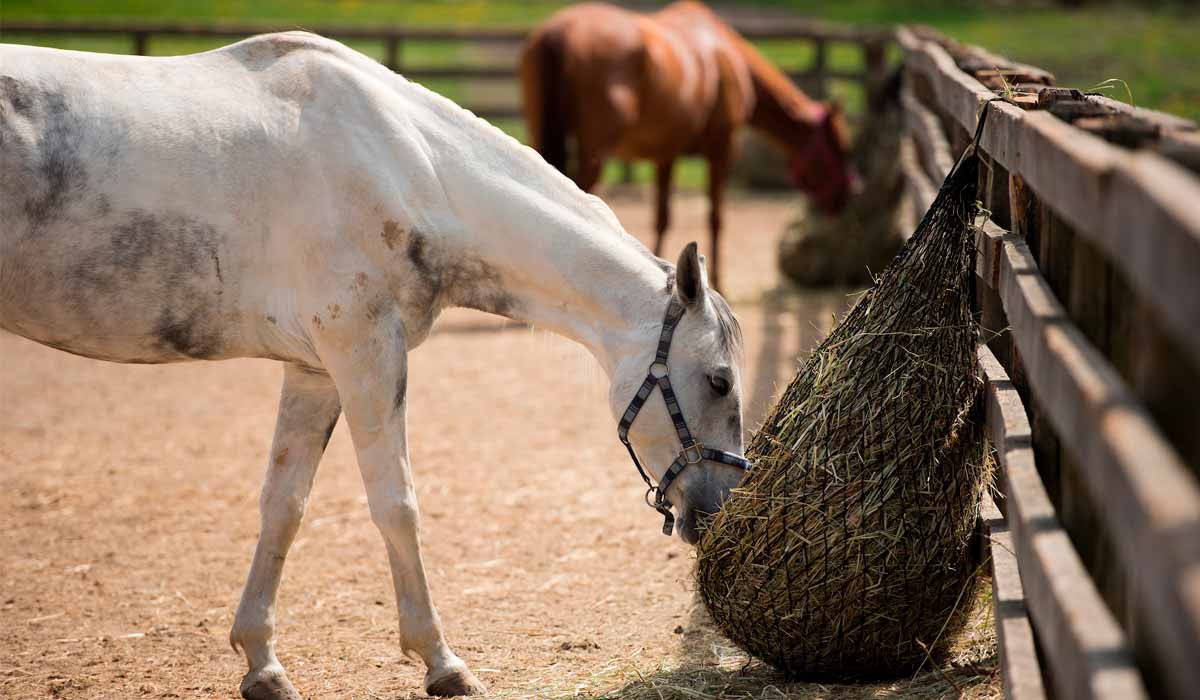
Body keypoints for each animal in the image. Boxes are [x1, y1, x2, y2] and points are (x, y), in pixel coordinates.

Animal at [2, 34, 748, 700]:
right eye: (719, 380)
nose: (720, 510)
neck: (409, 168)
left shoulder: (314, 372)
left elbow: (284, 506)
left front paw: (263, 666)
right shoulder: (364, 351)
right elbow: (397, 504)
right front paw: (442, 662)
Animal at [520, 0, 859, 290]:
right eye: (841, 148)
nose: (847, 196)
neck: (724, 54)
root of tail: (558, 33)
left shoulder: (665, 155)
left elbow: (662, 218)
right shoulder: (721, 150)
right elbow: (716, 219)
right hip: (594, 154)